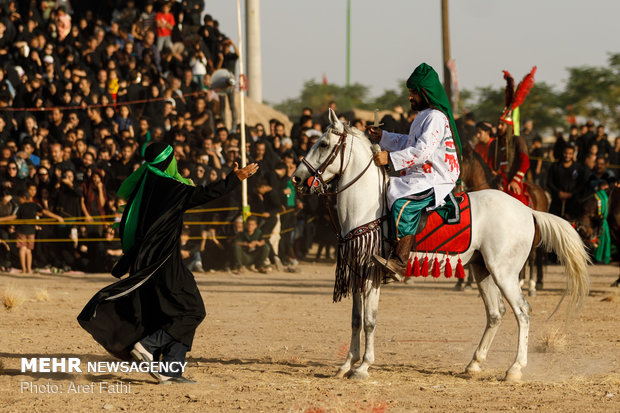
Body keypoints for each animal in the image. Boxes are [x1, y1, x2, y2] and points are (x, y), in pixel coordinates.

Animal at [294, 108, 588, 380]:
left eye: (323, 144)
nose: (297, 178)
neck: (366, 206)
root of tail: (528, 210)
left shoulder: (371, 273)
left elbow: (369, 320)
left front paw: (363, 366)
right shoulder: (357, 270)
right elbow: (355, 320)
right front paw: (346, 365)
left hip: (504, 273)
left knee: (523, 312)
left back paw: (515, 369)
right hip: (482, 269)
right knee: (496, 313)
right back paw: (474, 364)